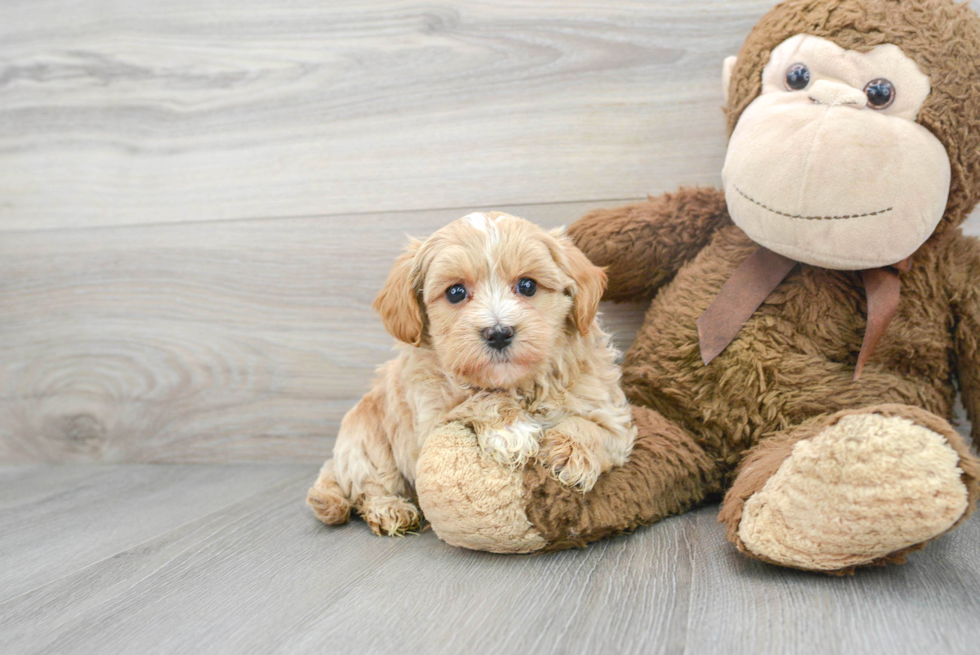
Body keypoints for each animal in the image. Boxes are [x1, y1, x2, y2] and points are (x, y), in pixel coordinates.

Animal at [306, 213, 636, 536]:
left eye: (528, 286)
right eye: (455, 292)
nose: (499, 333)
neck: (515, 384)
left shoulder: (610, 412)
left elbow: (597, 429)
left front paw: (568, 453)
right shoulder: (430, 420)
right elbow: (474, 402)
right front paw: (511, 430)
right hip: (364, 443)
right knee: (370, 486)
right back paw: (390, 509)